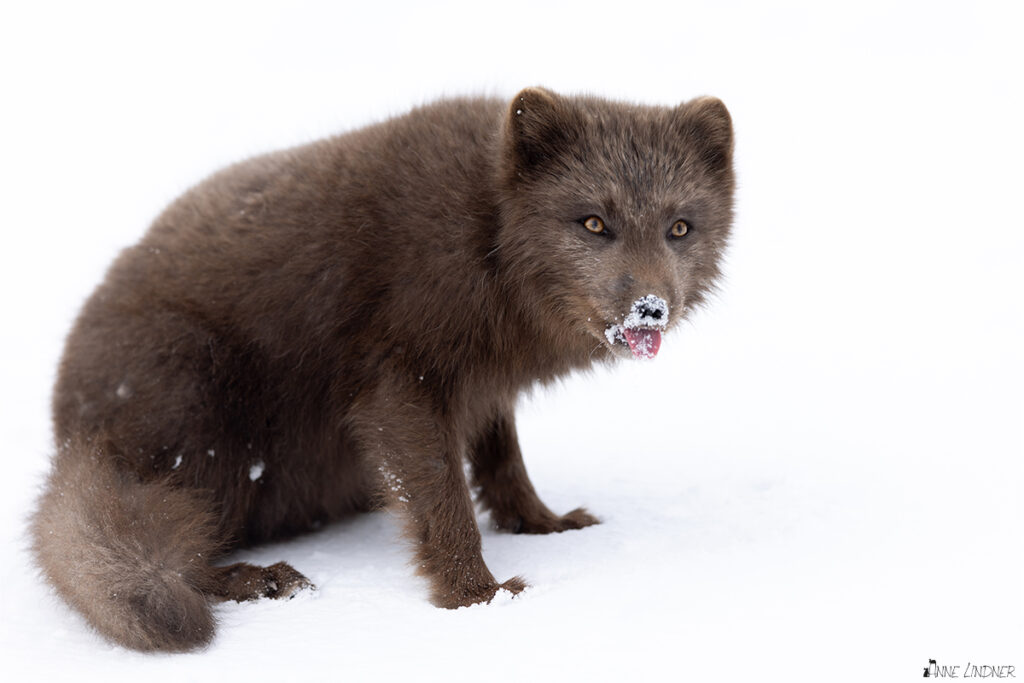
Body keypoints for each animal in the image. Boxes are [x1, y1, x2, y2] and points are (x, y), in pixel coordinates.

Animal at [29, 87, 737, 651]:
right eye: (593, 222)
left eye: (679, 228)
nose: (651, 309)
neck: (487, 239)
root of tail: (73, 433)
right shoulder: (402, 381)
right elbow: (442, 498)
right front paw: (478, 598)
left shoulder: (482, 382)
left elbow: (502, 460)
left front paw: (541, 524)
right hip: (202, 413)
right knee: (184, 541)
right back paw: (259, 579)